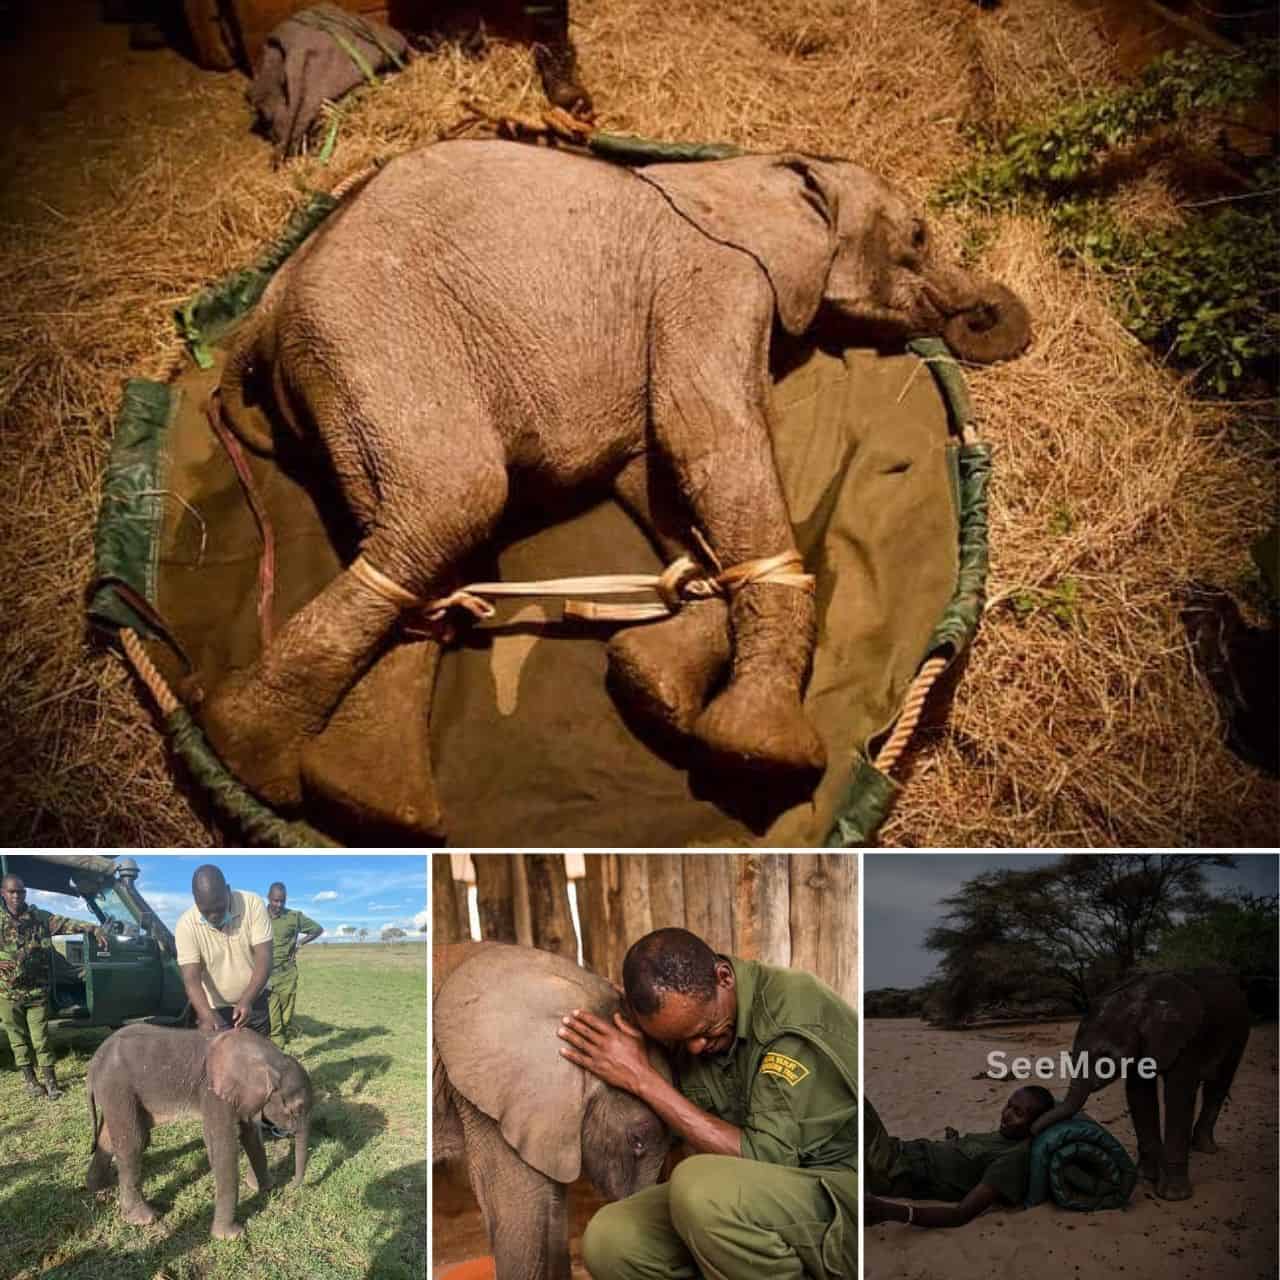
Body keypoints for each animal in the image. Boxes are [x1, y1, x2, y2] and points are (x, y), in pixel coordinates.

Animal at [85, 1023, 313, 1239]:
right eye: (295, 1109)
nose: (291, 1186)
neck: (267, 1057)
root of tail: (94, 1061)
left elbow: (250, 1134)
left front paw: (267, 1187)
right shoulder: (213, 1094)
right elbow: (223, 1147)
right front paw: (230, 1236)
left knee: (107, 1139)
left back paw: (100, 1186)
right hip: (117, 1088)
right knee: (133, 1143)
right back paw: (144, 1218)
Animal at [206, 139, 1032, 812]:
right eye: (917, 238)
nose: (989, 320)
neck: (755, 171)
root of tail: (263, 310)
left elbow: (660, 475)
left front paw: (652, 688)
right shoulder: (714, 275)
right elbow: (703, 432)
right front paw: (761, 754)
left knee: (421, 533)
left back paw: (367, 800)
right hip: (374, 335)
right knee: (457, 498)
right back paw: (248, 757)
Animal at [1030, 969, 1250, 1200]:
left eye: (1106, 1058)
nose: (1031, 1131)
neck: (1141, 1001)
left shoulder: (1189, 1040)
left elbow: (1178, 1095)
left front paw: (1172, 1196)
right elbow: (1139, 1094)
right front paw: (1146, 1178)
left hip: (1240, 1031)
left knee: (1218, 1084)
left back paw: (1206, 1149)